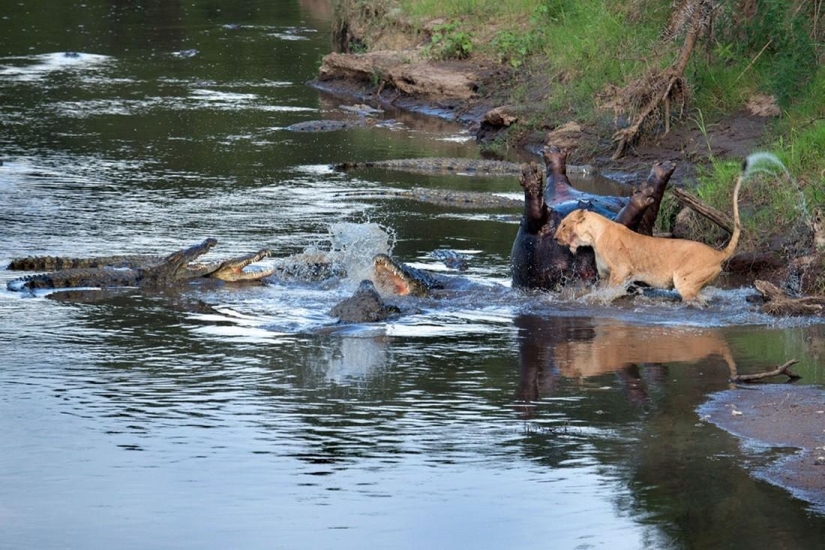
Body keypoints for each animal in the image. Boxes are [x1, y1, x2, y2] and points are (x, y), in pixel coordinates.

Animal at [554, 169, 743, 303]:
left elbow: (611, 291)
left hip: (685, 281)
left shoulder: (622, 270)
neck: (594, 236)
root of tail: (717, 253)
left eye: (563, 224)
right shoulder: (604, 275)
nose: (555, 238)